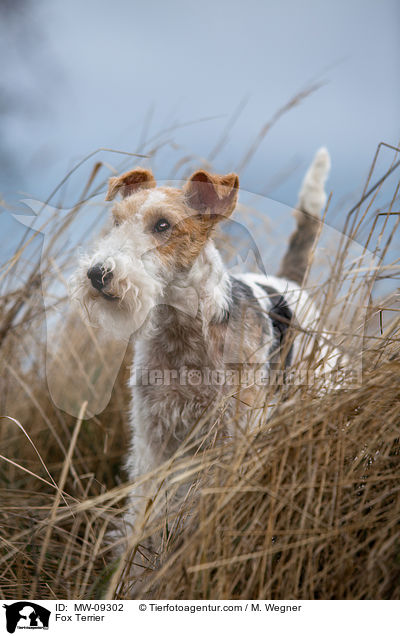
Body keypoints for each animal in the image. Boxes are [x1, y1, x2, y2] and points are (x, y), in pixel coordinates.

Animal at [71, 147, 332, 548]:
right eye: (116, 221)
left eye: (163, 225)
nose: (98, 274)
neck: (183, 333)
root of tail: (288, 283)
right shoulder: (154, 434)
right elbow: (145, 504)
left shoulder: (231, 432)